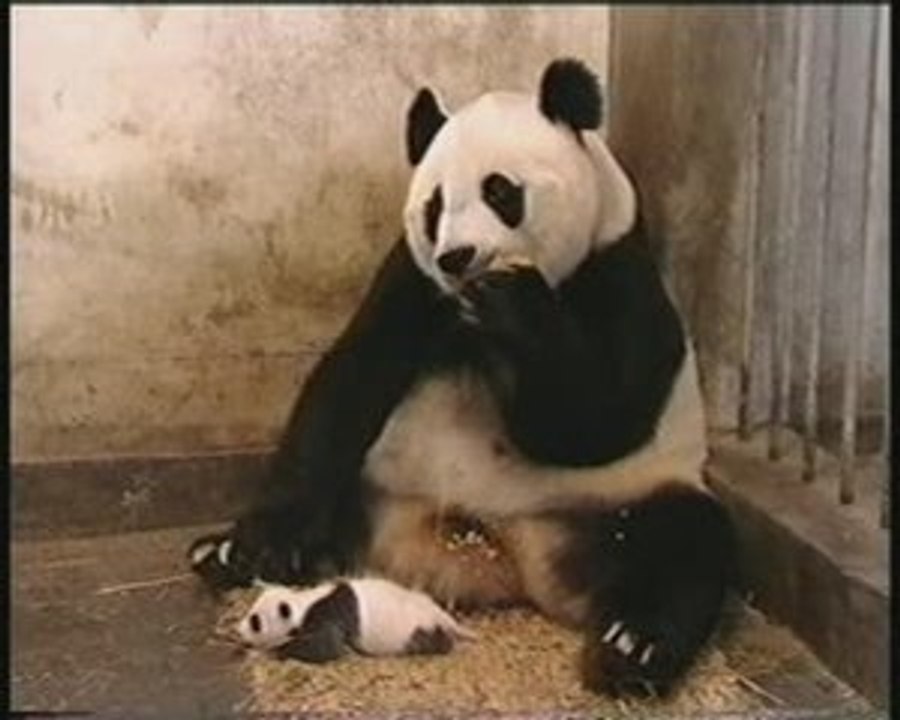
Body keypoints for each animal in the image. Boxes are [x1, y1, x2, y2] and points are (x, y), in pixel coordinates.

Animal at [189, 58, 737, 697]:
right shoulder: (413, 281)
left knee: (686, 543)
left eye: (501, 192)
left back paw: (631, 647)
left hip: (618, 501)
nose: (459, 256)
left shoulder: (618, 270)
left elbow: (596, 423)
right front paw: (256, 545)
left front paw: (517, 307)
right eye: (434, 206)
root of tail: (500, 557)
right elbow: (349, 382)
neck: (472, 314)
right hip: (379, 486)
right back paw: (230, 555)